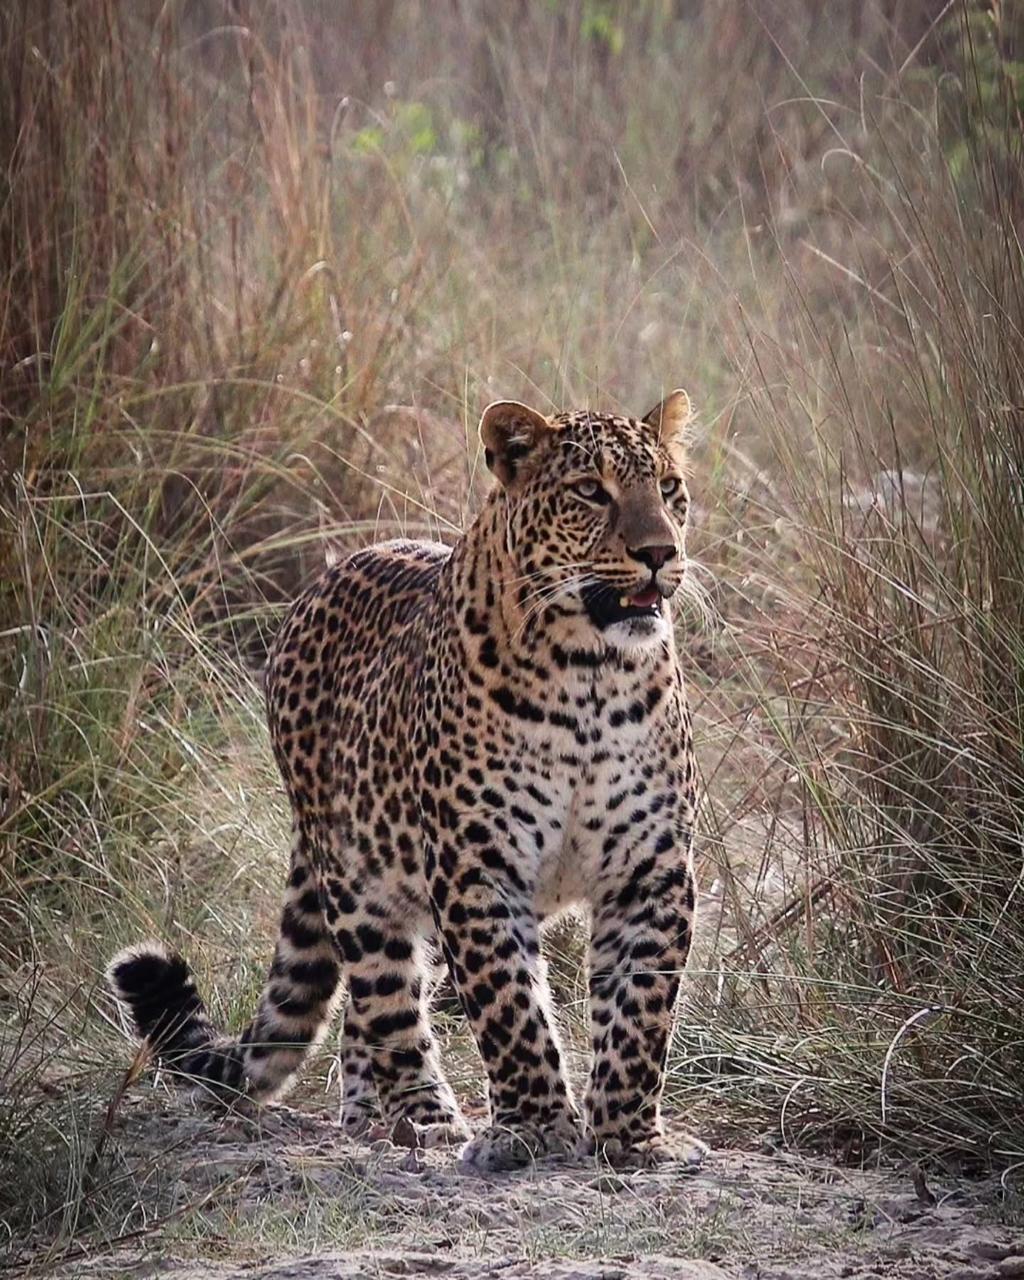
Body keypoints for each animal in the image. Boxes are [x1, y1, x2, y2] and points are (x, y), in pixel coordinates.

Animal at [108, 389, 708, 1173]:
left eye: (669, 489)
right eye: (590, 492)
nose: (659, 553)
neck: (592, 678)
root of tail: (336, 567)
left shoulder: (653, 869)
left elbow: (640, 1011)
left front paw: (630, 1136)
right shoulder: (477, 868)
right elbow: (510, 1005)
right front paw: (534, 1128)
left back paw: (378, 1115)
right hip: (358, 883)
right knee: (382, 1002)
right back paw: (419, 1117)